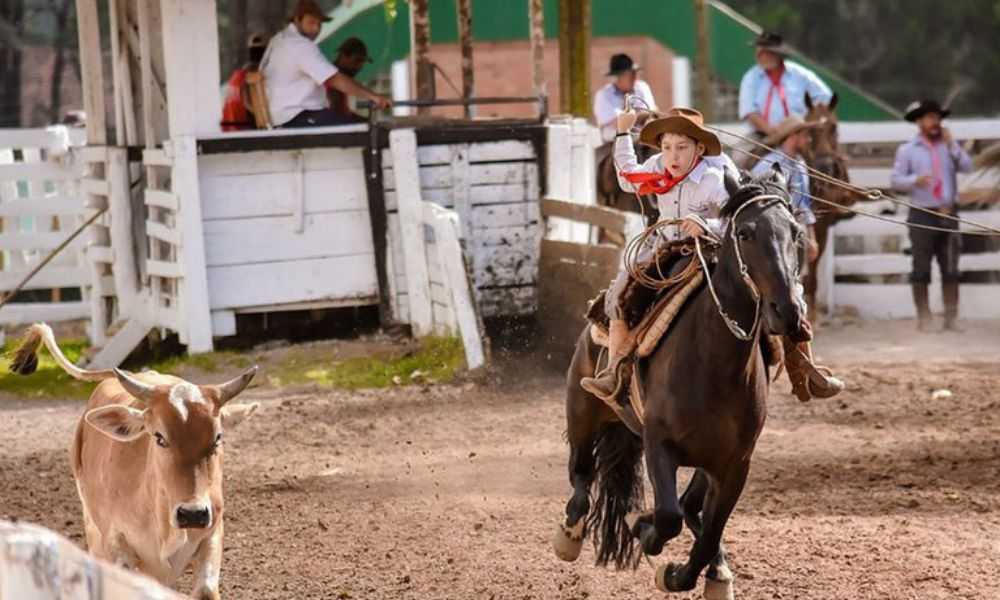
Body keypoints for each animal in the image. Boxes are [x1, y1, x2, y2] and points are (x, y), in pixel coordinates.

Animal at [9, 323, 259, 600]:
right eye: (159, 437)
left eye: (217, 438)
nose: (192, 514)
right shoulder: (118, 546)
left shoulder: (212, 534)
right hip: (93, 530)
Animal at [553, 168, 809, 598]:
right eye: (745, 232)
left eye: (795, 232)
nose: (787, 310)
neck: (713, 366)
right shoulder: (659, 444)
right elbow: (667, 515)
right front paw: (644, 529)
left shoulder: (735, 465)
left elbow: (707, 532)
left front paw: (681, 572)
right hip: (583, 411)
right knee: (581, 478)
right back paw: (569, 535)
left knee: (691, 507)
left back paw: (717, 568)